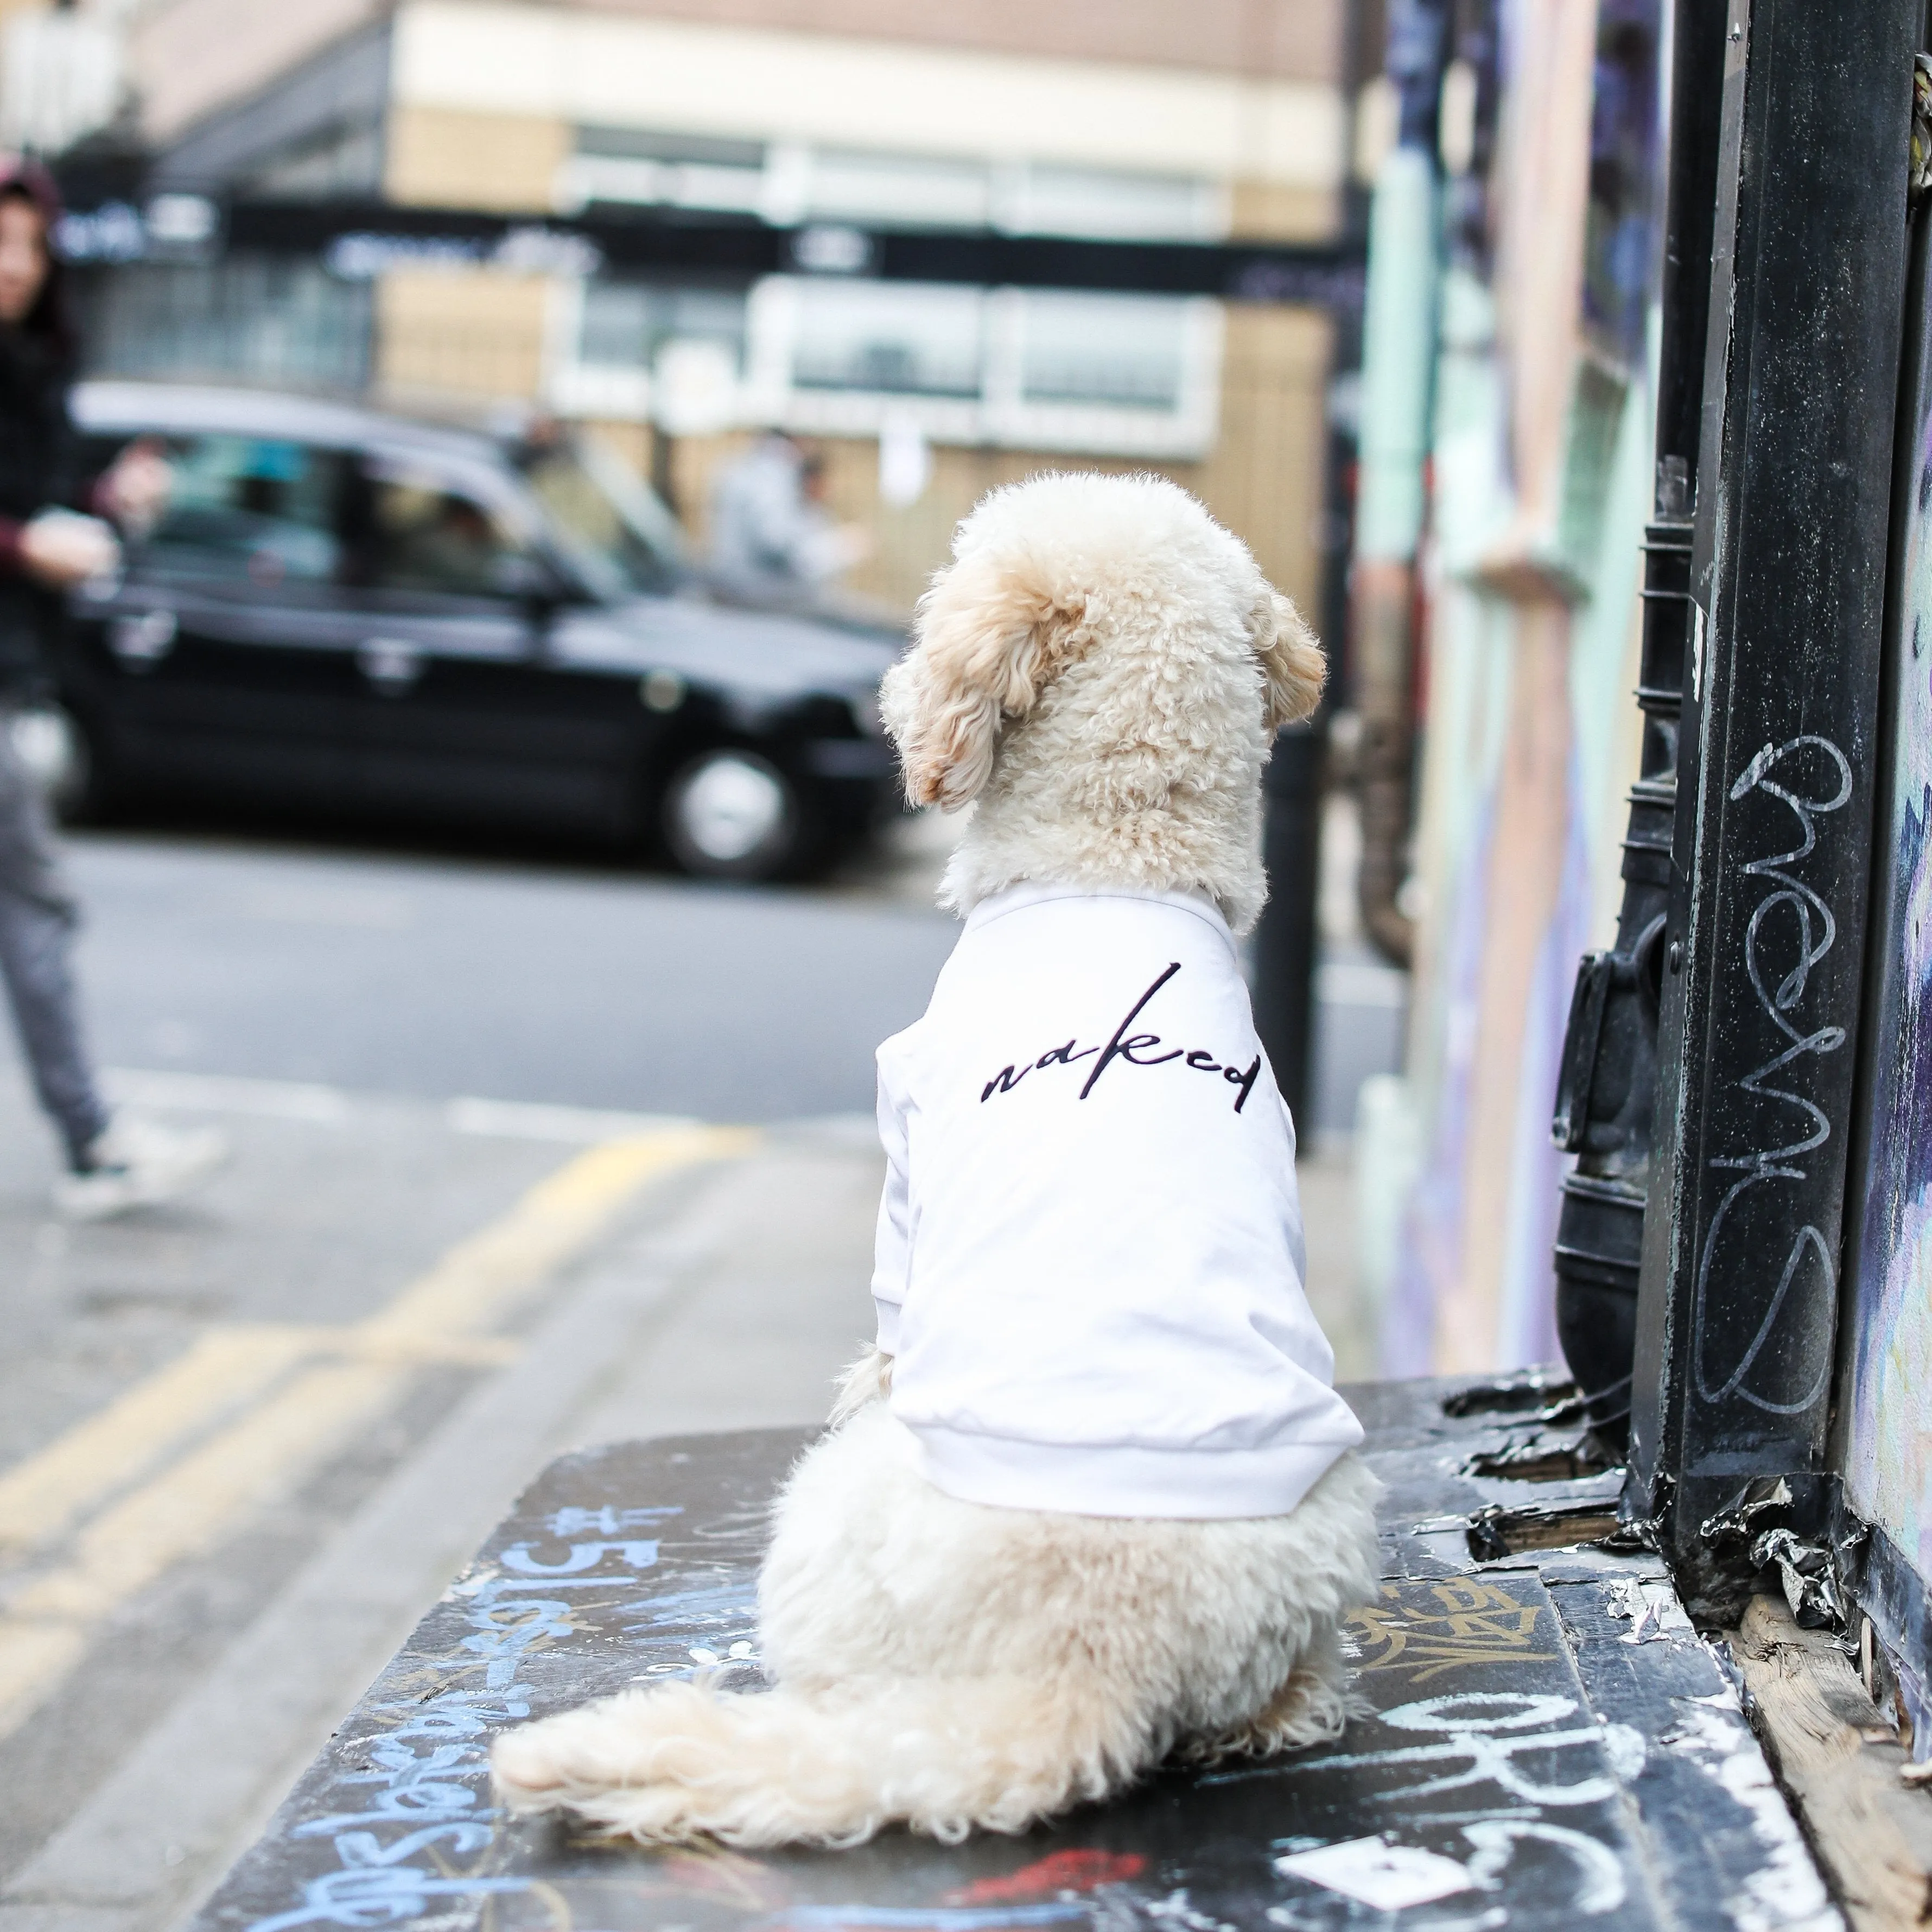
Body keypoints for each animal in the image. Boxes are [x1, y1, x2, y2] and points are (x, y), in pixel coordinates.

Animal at [491, 475, 1383, 1847]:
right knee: (1281, 1700)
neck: (1112, 855)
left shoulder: (904, 1148)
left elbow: (888, 1316)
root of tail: (1095, 1664)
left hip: (820, 1521)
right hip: (1329, 1519)